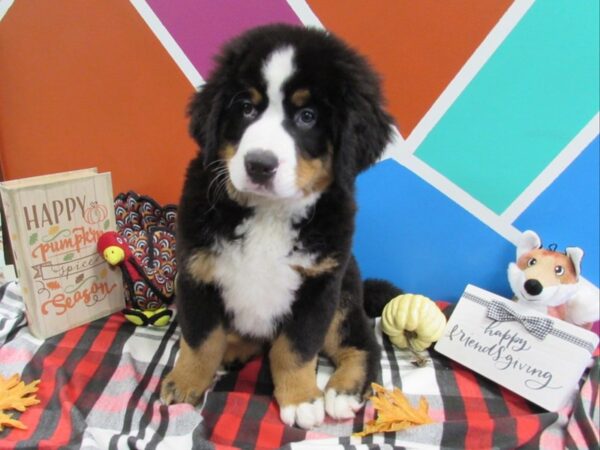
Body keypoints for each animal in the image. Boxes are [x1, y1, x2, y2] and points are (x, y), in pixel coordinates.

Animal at [162, 23, 400, 428]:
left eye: (307, 116)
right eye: (245, 108)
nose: (259, 164)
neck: (268, 213)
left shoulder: (319, 287)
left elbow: (294, 348)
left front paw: (301, 398)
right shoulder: (197, 273)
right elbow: (200, 340)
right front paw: (186, 382)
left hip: (344, 296)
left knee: (361, 342)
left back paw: (343, 389)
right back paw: (234, 349)